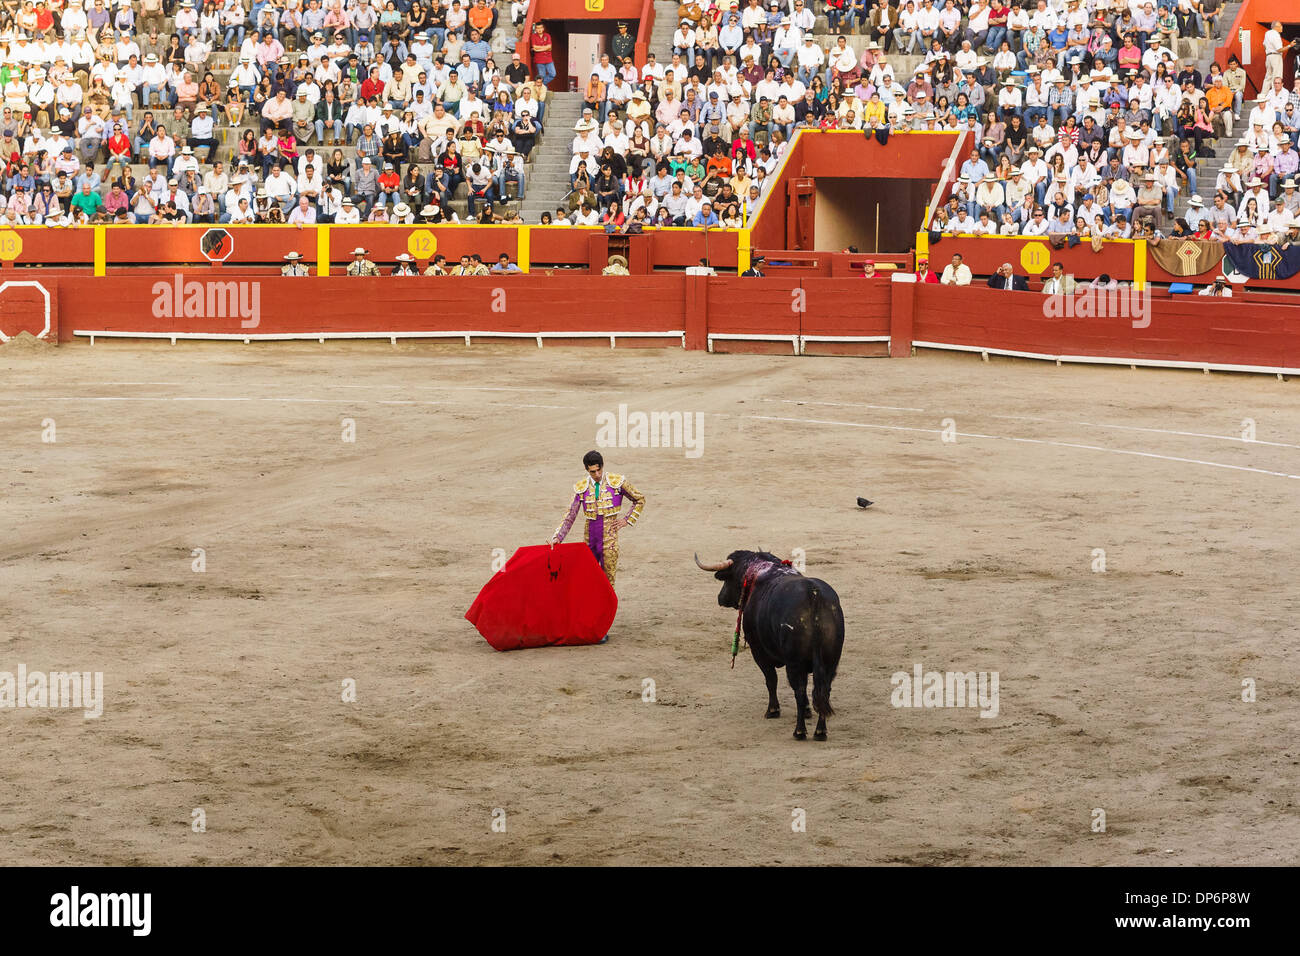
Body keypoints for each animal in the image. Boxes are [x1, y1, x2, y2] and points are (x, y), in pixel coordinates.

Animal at [696, 554, 847, 738]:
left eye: (728, 579)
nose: (720, 598)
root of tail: (814, 595)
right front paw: (807, 710)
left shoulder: (759, 652)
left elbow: (771, 680)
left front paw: (773, 710)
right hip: (831, 662)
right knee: (824, 690)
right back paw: (820, 731)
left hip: (794, 663)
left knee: (799, 690)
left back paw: (799, 731)